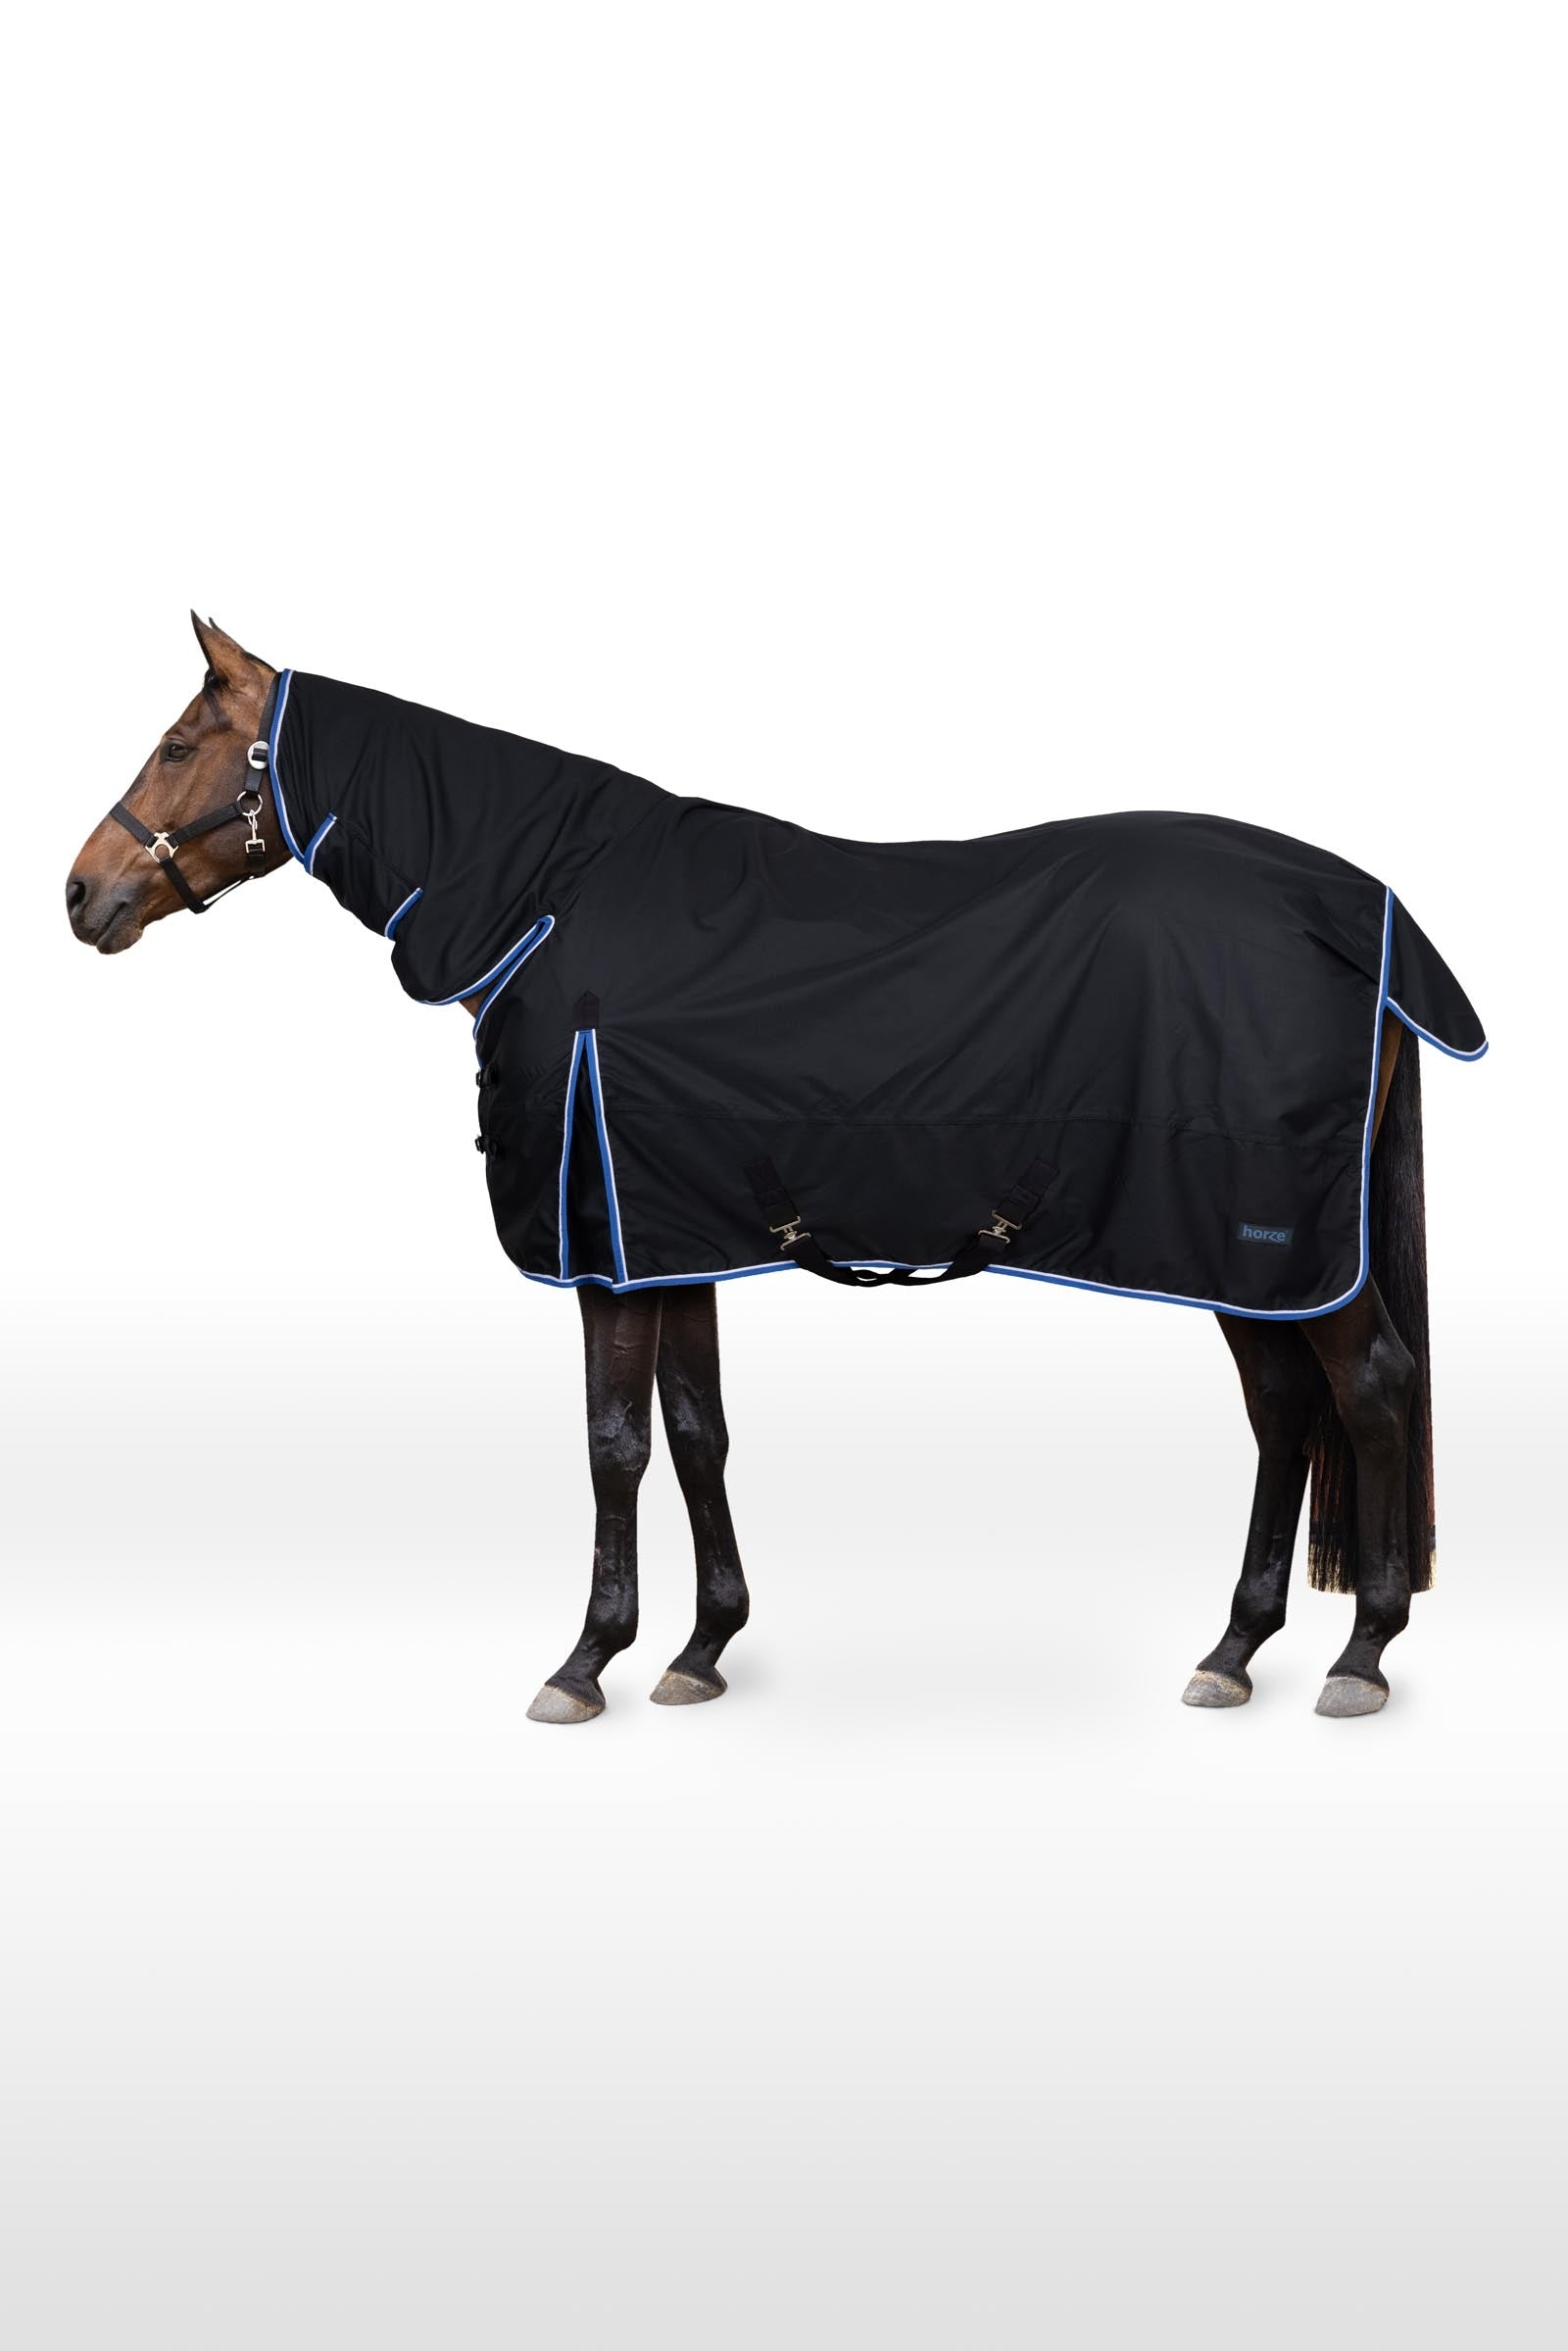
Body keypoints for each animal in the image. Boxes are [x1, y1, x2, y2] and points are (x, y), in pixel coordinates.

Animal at [66, 615, 1483, 1724]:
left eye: (180, 745)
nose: (82, 894)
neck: (545, 903)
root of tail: (1363, 917)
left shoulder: (607, 1256)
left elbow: (615, 1445)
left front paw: (586, 1659)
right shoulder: (665, 1234)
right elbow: (698, 1431)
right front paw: (702, 1646)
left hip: (1277, 1243)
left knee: (1368, 1388)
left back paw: (1362, 1652)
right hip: (1243, 1253)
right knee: (1285, 1411)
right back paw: (1235, 1647)